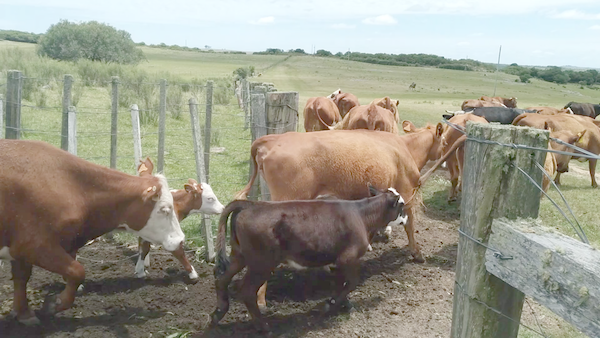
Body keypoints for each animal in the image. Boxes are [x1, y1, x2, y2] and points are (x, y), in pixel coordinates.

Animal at [0, 139, 185, 324]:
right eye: (164, 209)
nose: (179, 239)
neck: (73, 187)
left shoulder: (20, 250)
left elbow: (21, 277)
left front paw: (24, 313)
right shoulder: (33, 245)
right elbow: (77, 272)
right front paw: (55, 304)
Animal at [211, 186, 408, 332]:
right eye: (402, 206)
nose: (406, 218)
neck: (360, 215)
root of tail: (251, 205)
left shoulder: (336, 260)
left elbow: (339, 282)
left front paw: (340, 304)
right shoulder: (347, 258)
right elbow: (351, 282)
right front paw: (331, 305)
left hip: (239, 256)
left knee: (222, 279)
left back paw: (218, 313)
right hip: (262, 263)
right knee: (247, 291)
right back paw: (263, 326)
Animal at [234, 123, 446, 308]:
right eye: (444, 141)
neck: (406, 147)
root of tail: (273, 138)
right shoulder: (406, 194)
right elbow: (410, 225)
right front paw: (417, 253)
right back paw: (260, 298)